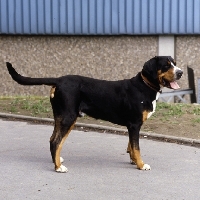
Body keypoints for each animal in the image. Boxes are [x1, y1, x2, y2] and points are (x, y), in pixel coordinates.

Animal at [6, 55, 183, 172]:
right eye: (166, 65)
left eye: (175, 63)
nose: (180, 72)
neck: (144, 86)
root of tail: (59, 80)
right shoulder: (134, 124)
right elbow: (137, 147)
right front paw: (141, 164)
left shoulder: (132, 126)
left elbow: (131, 146)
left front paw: (133, 160)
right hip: (68, 117)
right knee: (56, 141)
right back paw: (58, 167)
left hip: (62, 117)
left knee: (53, 139)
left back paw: (57, 160)